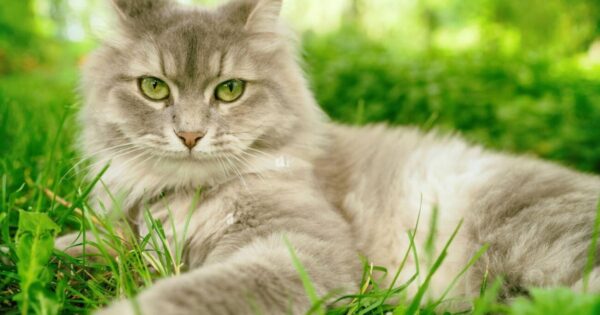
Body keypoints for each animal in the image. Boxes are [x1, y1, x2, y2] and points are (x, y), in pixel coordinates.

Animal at [57, 0, 600, 314]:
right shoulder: (126, 237)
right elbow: (82, 246)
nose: (190, 135)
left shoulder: (300, 246)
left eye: (230, 90)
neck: (182, 195)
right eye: (153, 87)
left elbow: (204, 291)